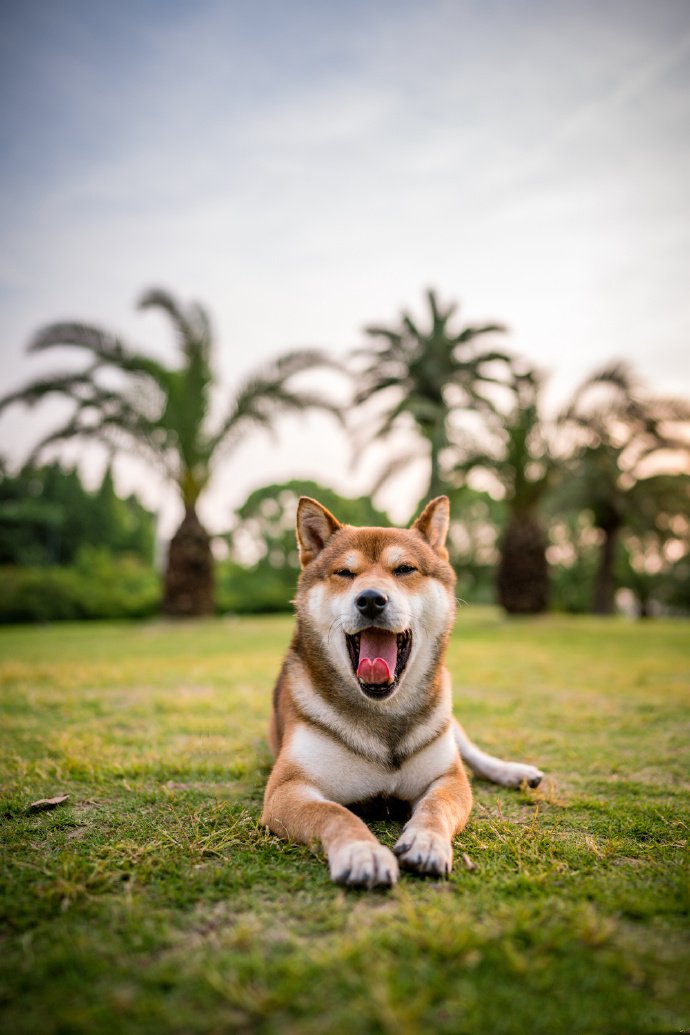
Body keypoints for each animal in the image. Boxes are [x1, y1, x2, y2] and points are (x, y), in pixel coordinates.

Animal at [261, 496, 542, 885]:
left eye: (404, 569)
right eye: (345, 573)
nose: (370, 599)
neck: (383, 712)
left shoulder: (446, 778)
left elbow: (437, 805)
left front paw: (427, 841)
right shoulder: (287, 789)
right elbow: (336, 814)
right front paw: (361, 852)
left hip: (446, 720)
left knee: (471, 752)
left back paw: (514, 772)